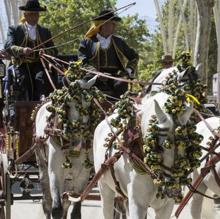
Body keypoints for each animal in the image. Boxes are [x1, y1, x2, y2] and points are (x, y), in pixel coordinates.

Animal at [34, 75, 97, 219]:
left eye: (89, 105)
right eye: (67, 105)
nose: (77, 140)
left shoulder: (83, 174)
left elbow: (75, 212)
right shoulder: (55, 171)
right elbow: (56, 208)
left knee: (66, 202)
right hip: (41, 162)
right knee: (47, 201)